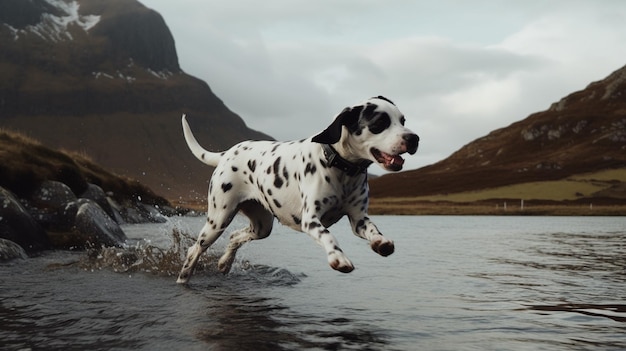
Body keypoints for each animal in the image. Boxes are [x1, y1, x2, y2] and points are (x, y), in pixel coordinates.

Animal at [177, 97, 420, 284]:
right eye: (380, 122)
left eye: (403, 120)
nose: (414, 138)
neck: (341, 168)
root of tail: (227, 152)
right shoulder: (311, 220)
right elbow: (328, 236)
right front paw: (338, 258)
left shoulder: (359, 219)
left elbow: (372, 230)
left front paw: (381, 242)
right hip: (218, 219)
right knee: (194, 250)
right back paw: (183, 278)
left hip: (262, 225)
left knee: (235, 236)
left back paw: (224, 263)